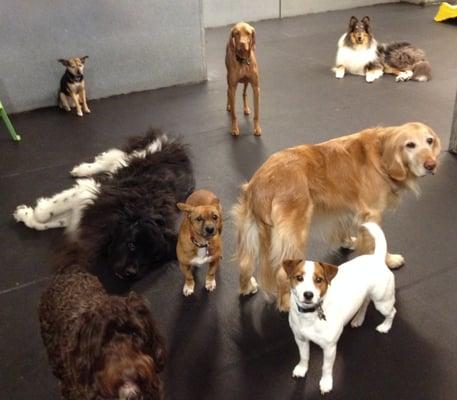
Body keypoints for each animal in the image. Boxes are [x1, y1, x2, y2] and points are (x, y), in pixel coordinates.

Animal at [14, 130, 194, 280]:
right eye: (131, 245)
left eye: (153, 258)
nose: (131, 273)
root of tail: (178, 146)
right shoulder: (89, 194)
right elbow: (45, 215)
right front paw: (35, 210)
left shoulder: (86, 213)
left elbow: (50, 222)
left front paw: (24, 214)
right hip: (141, 152)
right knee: (112, 157)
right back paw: (83, 168)